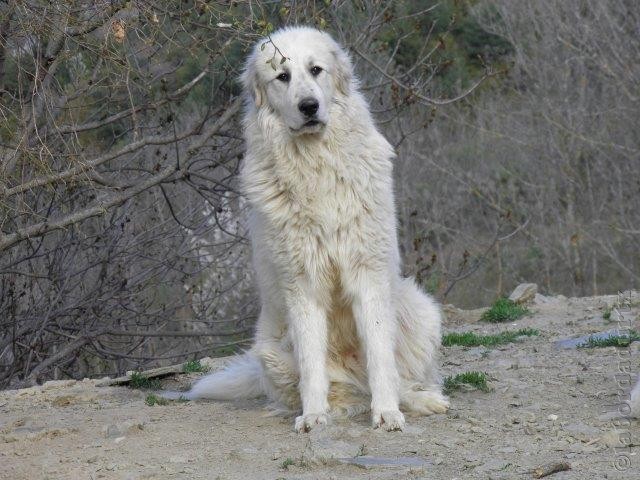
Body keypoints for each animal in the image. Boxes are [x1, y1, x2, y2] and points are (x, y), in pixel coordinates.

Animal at [185, 26, 444, 432]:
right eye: (282, 76)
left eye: (316, 70)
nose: (308, 106)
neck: (316, 167)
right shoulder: (302, 282)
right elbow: (311, 364)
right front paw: (313, 416)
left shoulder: (367, 275)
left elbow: (381, 359)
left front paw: (387, 413)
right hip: (271, 351)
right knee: (343, 391)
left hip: (420, 311)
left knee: (398, 379)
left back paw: (422, 400)